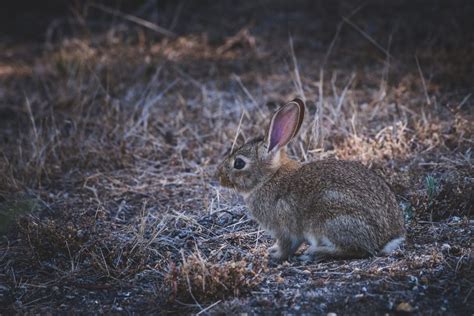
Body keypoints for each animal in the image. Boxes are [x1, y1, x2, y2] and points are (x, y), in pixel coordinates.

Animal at [217, 98, 406, 262]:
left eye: (239, 163)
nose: (220, 177)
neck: (269, 178)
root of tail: (386, 239)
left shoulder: (284, 228)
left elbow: (287, 245)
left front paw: (275, 255)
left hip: (329, 216)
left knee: (357, 250)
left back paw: (314, 252)